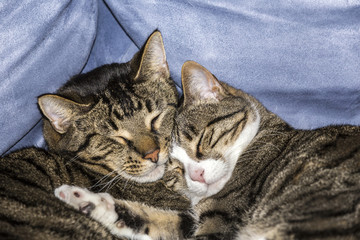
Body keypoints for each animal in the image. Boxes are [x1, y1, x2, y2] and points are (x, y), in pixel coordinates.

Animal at [54, 61, 360, 239]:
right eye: (174, 169)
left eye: (201, 141)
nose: (197, 175)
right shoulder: (193, 219)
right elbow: (151, 218)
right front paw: (83, 199)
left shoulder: (219, 221)